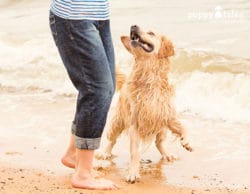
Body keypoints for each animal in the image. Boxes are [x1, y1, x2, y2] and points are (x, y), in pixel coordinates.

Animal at [96, 25, 192, 183]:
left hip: (161, 129)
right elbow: (134, 153)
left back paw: (167, 154)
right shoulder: (134, 124)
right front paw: (133, 172)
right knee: (112, 139)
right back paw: (104, 153)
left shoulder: (167, 115)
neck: (149, 78)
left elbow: (183, 127)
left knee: (159, 143)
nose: (133, 26)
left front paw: (187, 142)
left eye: (151, 33)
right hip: (118, 121)